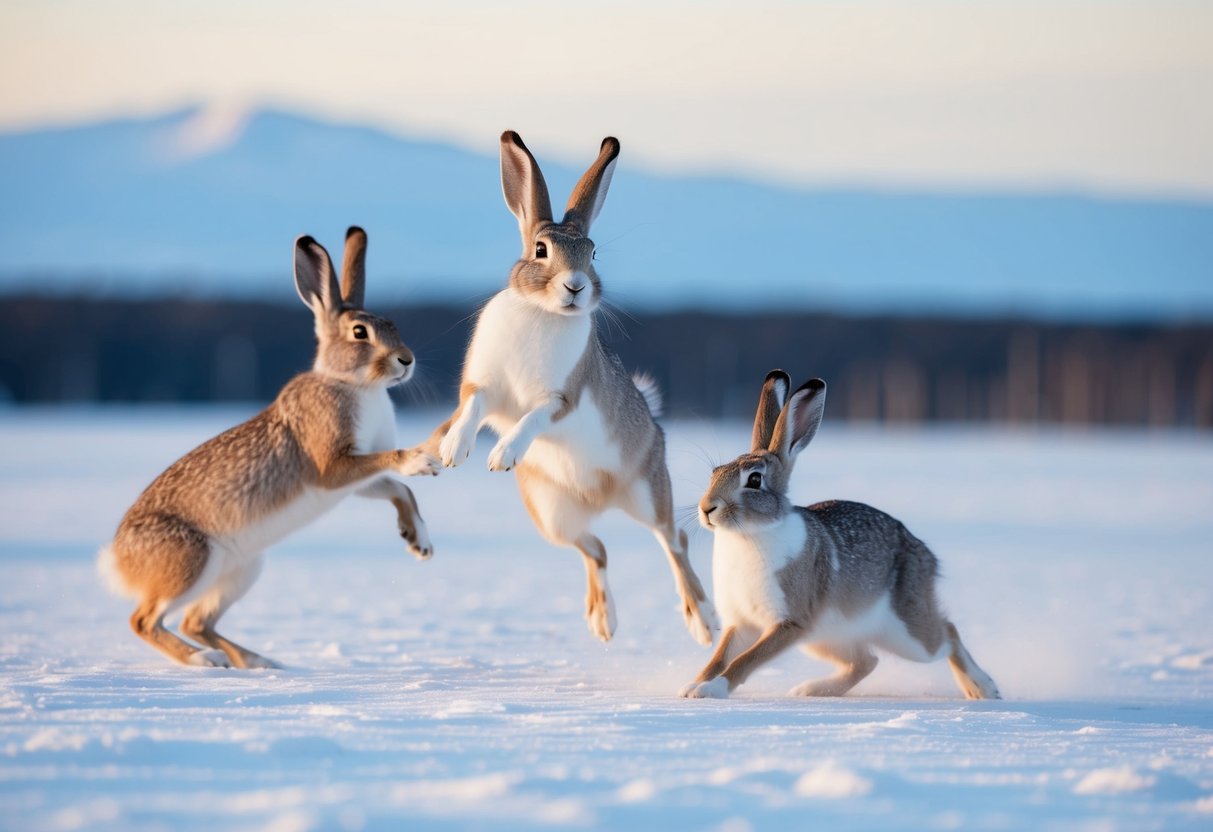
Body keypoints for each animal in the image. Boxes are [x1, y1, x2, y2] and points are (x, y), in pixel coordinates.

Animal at [98, 229, 441, 668]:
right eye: (360, 333)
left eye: (393, 325)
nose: (406, 360)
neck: (353, 383)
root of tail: (118, 562)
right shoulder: (332, 467)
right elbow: (394, 469)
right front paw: (420, 460)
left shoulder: (356, 480)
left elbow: (399, 489)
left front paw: (419, 541)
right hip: (191, 561)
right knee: (144, 621)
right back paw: (205, 660)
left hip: (243, 569)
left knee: (195, 622)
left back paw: (261, 662)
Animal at [427, 131, 717, 645]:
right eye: (541, 250)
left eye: (594, 253)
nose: (577, 287)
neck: (542, 312)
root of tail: (600, 501)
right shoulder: (485, 387)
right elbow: (473, 407)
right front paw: (454, 449)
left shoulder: (562, 397)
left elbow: (534, 417)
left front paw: (502, 455)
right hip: (553, 515)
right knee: (596, 548)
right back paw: (604, 622)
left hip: (647, 491)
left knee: (674, 541)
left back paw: (703, 622)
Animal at [680, 371, 1000, 700]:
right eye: (715, 472)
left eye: (755, 480)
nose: (707, 508)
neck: (751, 533)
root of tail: (926, 556)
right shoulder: (742, 623)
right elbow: (720, 656)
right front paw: (693, 685)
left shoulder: (791, 623)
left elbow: (746, 660)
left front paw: (712, 689)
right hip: (826, 638)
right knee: (866, 662)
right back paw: (809, 690)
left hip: (906, 635)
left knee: (947, 634)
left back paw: (983, 688)